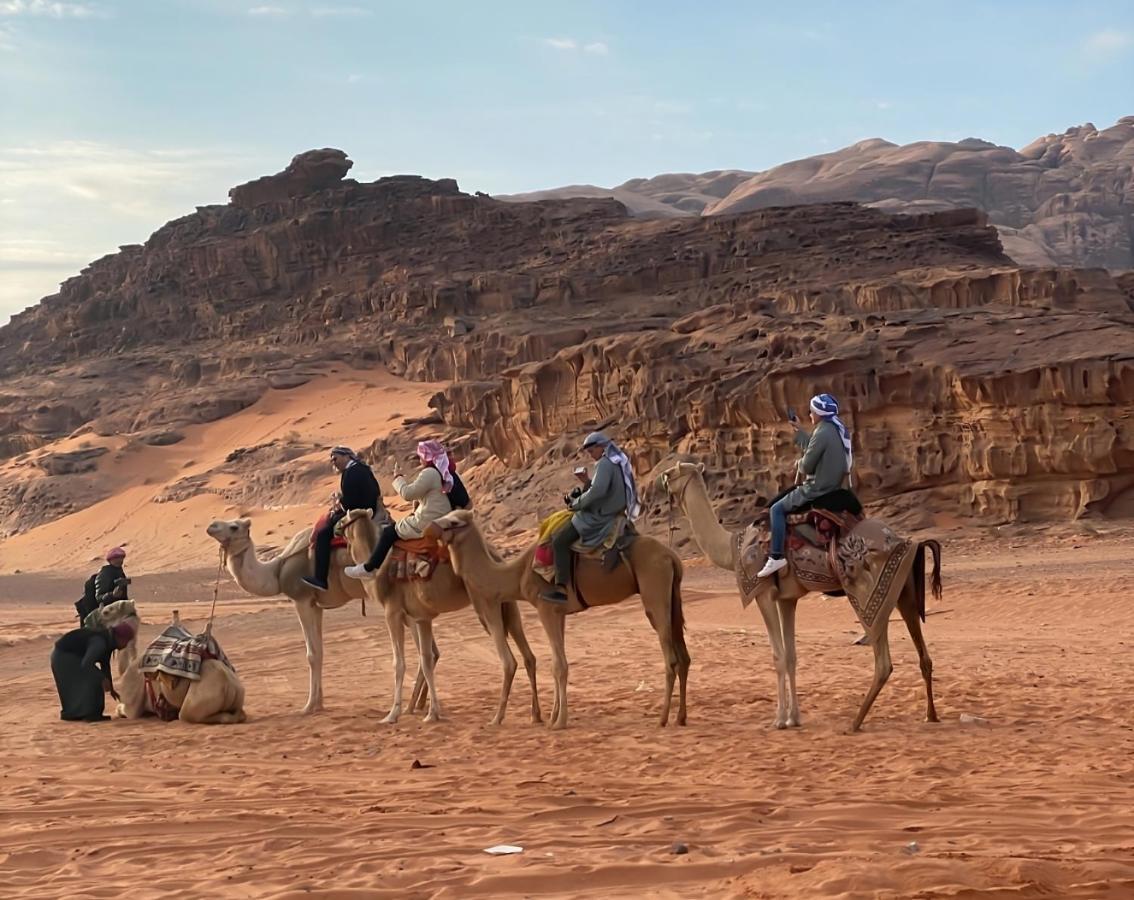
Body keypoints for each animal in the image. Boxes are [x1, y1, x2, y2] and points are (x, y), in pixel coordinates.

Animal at [204, 514, 433, 711]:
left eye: (234, 526)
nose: (211, 526)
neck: (276, 571)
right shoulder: (317, 605)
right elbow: (320, 652)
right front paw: (319, 704)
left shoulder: (302, 600)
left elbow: (312, 654)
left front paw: (307, 707)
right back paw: (418, 704)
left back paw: (414, 706)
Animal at [337, 507, 542, 725]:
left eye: (342, 519)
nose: (335, 529)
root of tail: (496, 556)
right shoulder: (420, 617)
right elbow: (427, 660)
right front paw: (430, 712)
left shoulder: (393, 613)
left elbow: (399, 663)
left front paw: (392, 715)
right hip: (508, 607)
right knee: (528, 656)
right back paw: (535, 715)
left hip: (486, 606)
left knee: (509, 660)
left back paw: (498, 718)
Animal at [426, 507, 689, 725]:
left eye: (454, 521)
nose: (431, 527)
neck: (517, 575)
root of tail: (672, 556)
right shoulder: (558, 611)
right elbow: (557, 662)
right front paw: (553, 715)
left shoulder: (545, 607)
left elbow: (559, 665)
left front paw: (560, 721)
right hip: (672, 597)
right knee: (684, 657)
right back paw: (680, 717)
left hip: (654, 592)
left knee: (671, 658)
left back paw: (663, 718)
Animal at [657, 462, 938, 729]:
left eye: (670, 474)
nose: (662, 484)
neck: (731, 547)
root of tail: (908, 541)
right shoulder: (787, 599)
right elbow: (791, 656)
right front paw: (795, 718)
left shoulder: (763, 593)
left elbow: (778, 656)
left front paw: (780, 720)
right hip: (903, 591)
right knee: (923, 654)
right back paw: (930, 715)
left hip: (864, 591)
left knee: (883, 662)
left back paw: (855, 723)